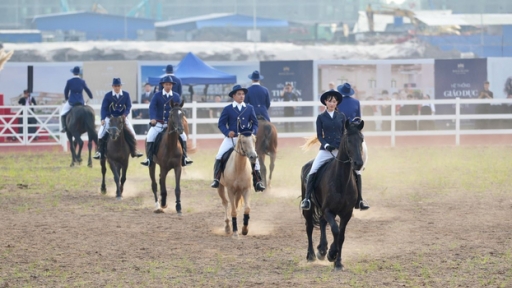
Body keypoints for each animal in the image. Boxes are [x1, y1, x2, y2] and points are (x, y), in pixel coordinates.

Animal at [300, 118, 364, 270]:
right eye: (348, 140)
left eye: (362, 139)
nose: (358, 164)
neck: (341, 180)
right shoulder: (328, 210)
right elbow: (335, 230)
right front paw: (332, 254)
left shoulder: (346, 213)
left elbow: (341, 235)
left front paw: (337, 262)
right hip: (308, 209)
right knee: (309, 228)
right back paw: (311, 255)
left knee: (322, 222)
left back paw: (322, 250)